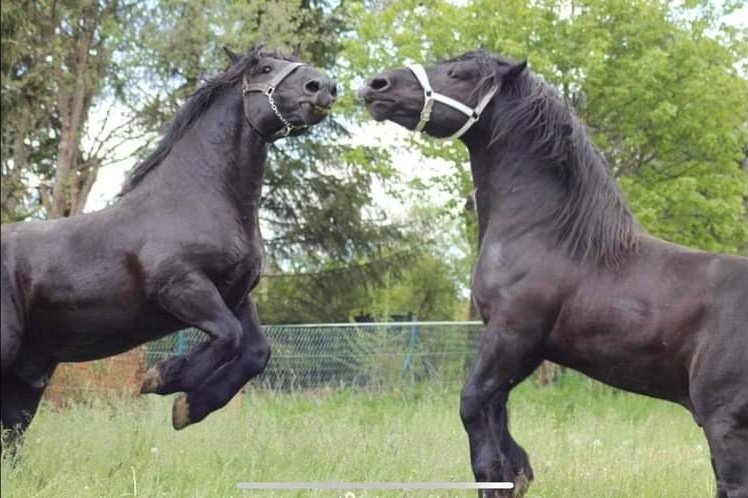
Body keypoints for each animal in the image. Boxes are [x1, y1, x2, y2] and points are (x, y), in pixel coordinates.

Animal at [1, 45, 337, 446]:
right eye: (266, 68)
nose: (323, 86)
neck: (194, 200)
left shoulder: (237, 297)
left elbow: (255, 351)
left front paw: (190, 407)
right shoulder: (182, 287)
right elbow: (229, 336)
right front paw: (162, 380)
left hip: (27, 376)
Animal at [358, 50, 748, 498]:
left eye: (459, 73)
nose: (377, 85)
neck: (549, 236)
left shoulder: (514, 335)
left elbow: (477, 419)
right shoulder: (520, 350)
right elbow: (502, 428)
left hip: (724, 422)